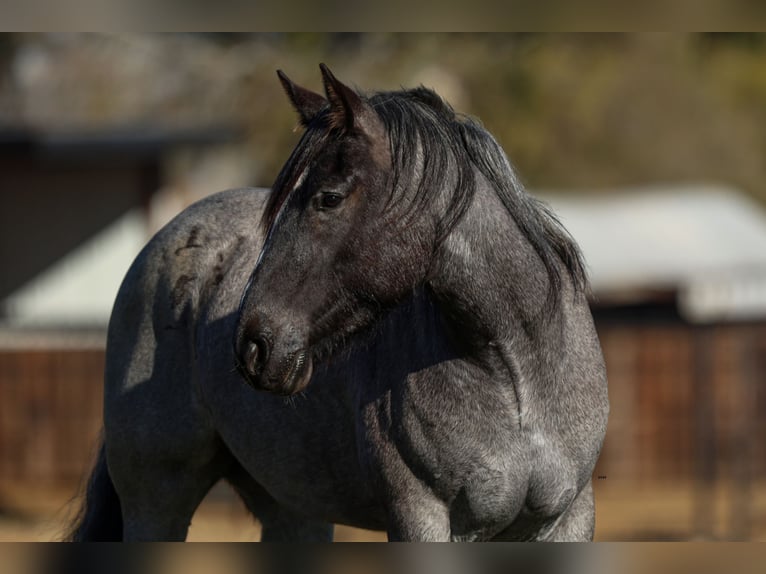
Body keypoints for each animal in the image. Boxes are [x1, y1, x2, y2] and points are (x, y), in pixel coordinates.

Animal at [72, 65, 612, 544]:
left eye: (328, 198)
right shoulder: (421, 519)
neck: (515, 376)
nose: (253, 345)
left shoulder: (567, 520)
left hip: (291, 509)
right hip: (156, 502)